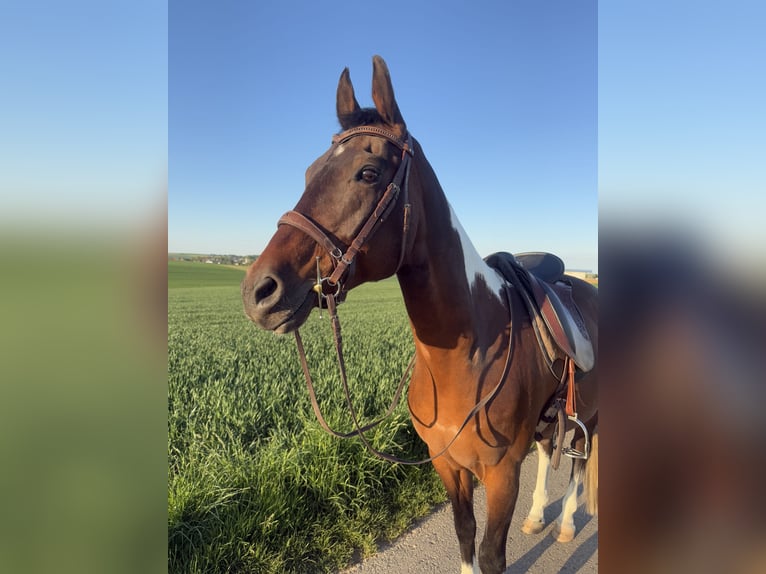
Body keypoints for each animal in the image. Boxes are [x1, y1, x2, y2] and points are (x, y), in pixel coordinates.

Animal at [241, 55, 598, 574]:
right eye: (309, 173)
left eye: (368, 172)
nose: (259, 291)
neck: (470, 354)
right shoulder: (448, 466)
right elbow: (465, 536)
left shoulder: (501, 474)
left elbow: (491, 554)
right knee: (551, 448)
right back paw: (537, 517)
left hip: (590, 410)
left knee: (579, 461)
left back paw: (568, 522)